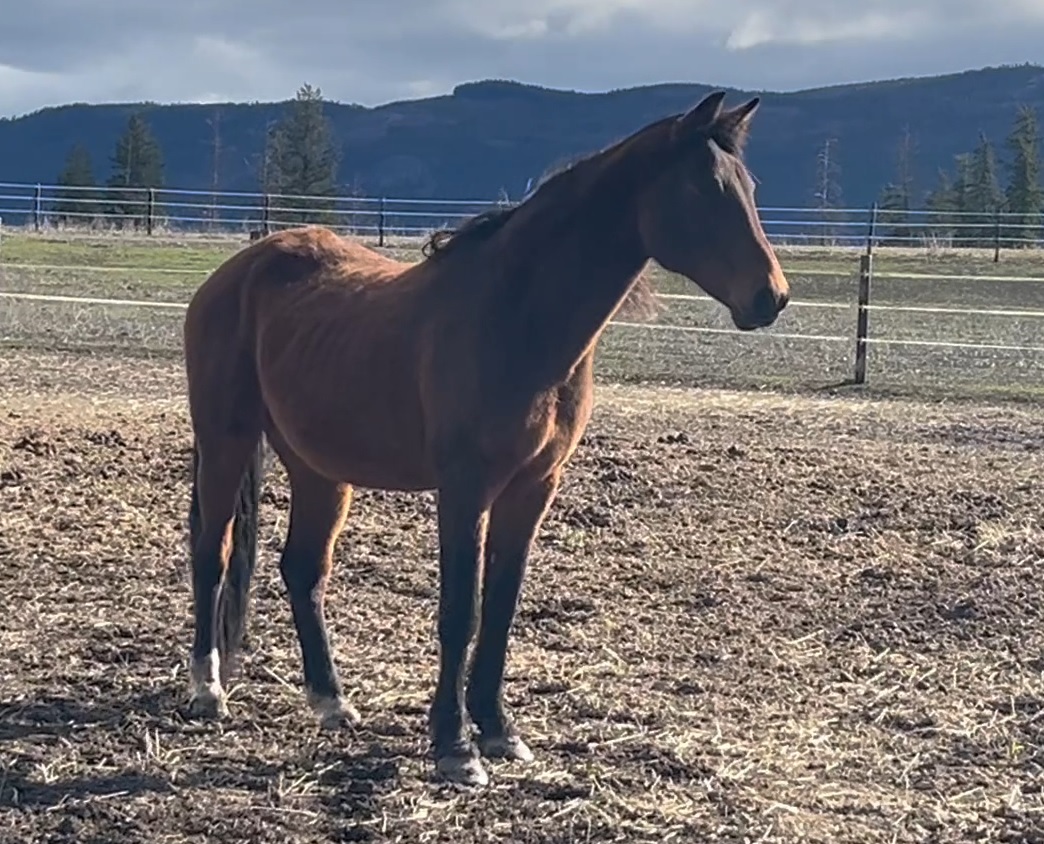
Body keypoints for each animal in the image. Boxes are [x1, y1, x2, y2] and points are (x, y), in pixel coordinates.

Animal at [181, 90, 790, 788]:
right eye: (702, 188)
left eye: (749, 187)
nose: (771, 297)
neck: (517, 318)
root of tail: (238, 272)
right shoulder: (466, 488)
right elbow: (461, 610)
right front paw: (455, 746)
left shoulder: (533, 487)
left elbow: (500, 608)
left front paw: (499, 731)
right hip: (225, 442)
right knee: (212, 553)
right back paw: (207, 690)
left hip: (319, 468)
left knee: (303, 570)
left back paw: (332, 702)